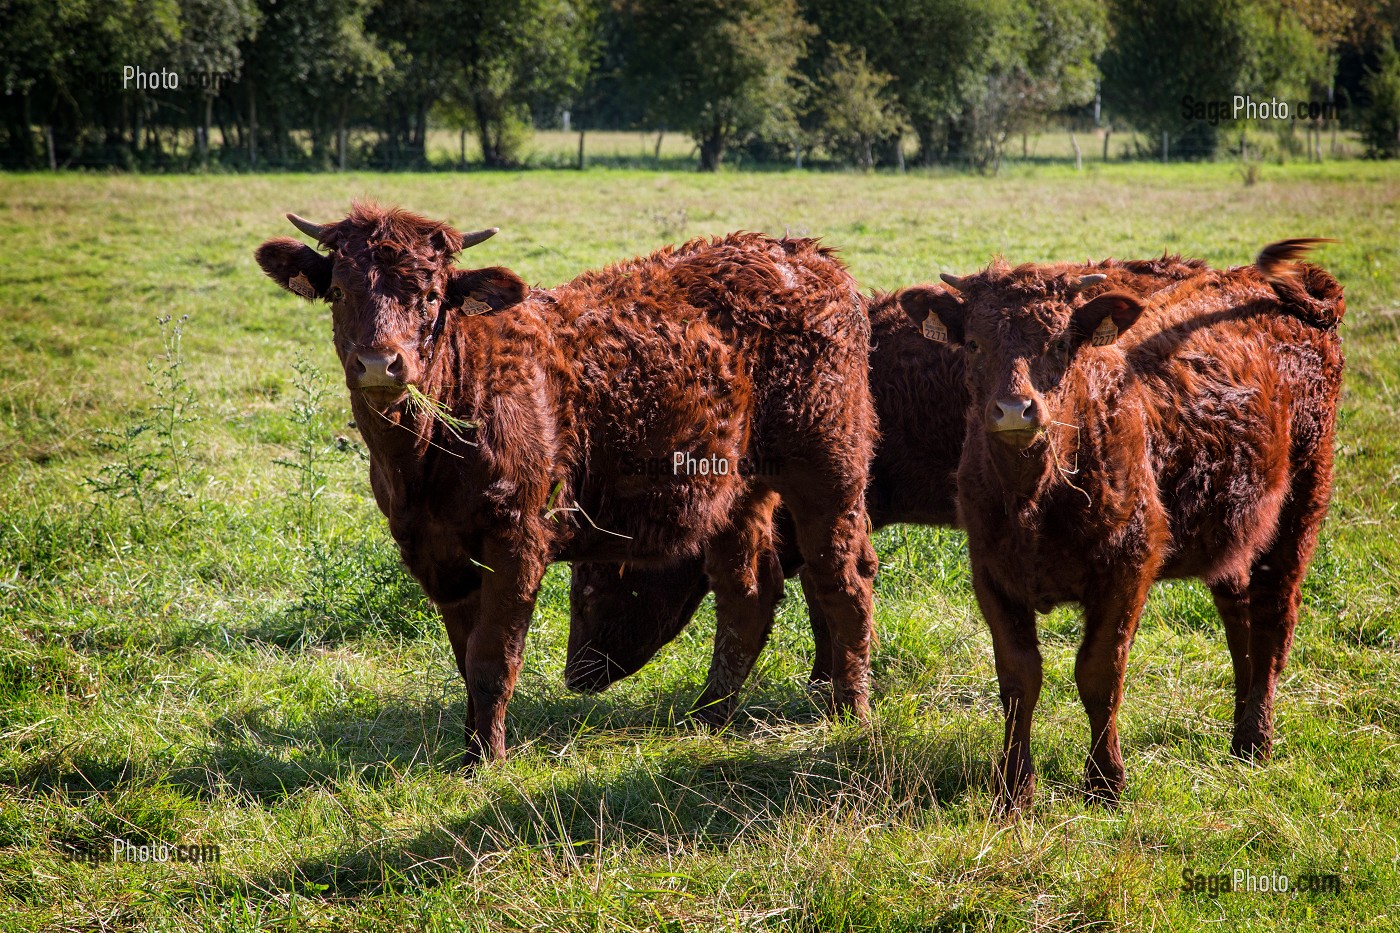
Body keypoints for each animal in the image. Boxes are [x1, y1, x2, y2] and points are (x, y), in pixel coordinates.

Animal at [254, 204, 879, 765]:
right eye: (340, 292)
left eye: (431, 296)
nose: (380, 363)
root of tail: (804, 255)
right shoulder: (437, 553)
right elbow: (465, 657)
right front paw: (470, 746)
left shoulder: (517, 539)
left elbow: (492, 657)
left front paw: (488, 760)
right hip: (736, 495)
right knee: (748, 593)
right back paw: (708, 717)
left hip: (829, 469)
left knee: (842, 582)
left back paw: (849, 712)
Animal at [897, 239, 1344, 810]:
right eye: (973, 343)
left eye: (1061, 342)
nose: (1015, 410)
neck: (1035, 499)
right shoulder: (991, 572)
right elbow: (1019, 678)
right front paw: (1014, 787)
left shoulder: (1128, 568)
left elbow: (1099, 673)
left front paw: (1105, 781)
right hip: (1235, 527)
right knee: (1238, 615)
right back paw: (1239, 731)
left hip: (1303, 497)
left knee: (1272, 618)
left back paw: (1255, 740)